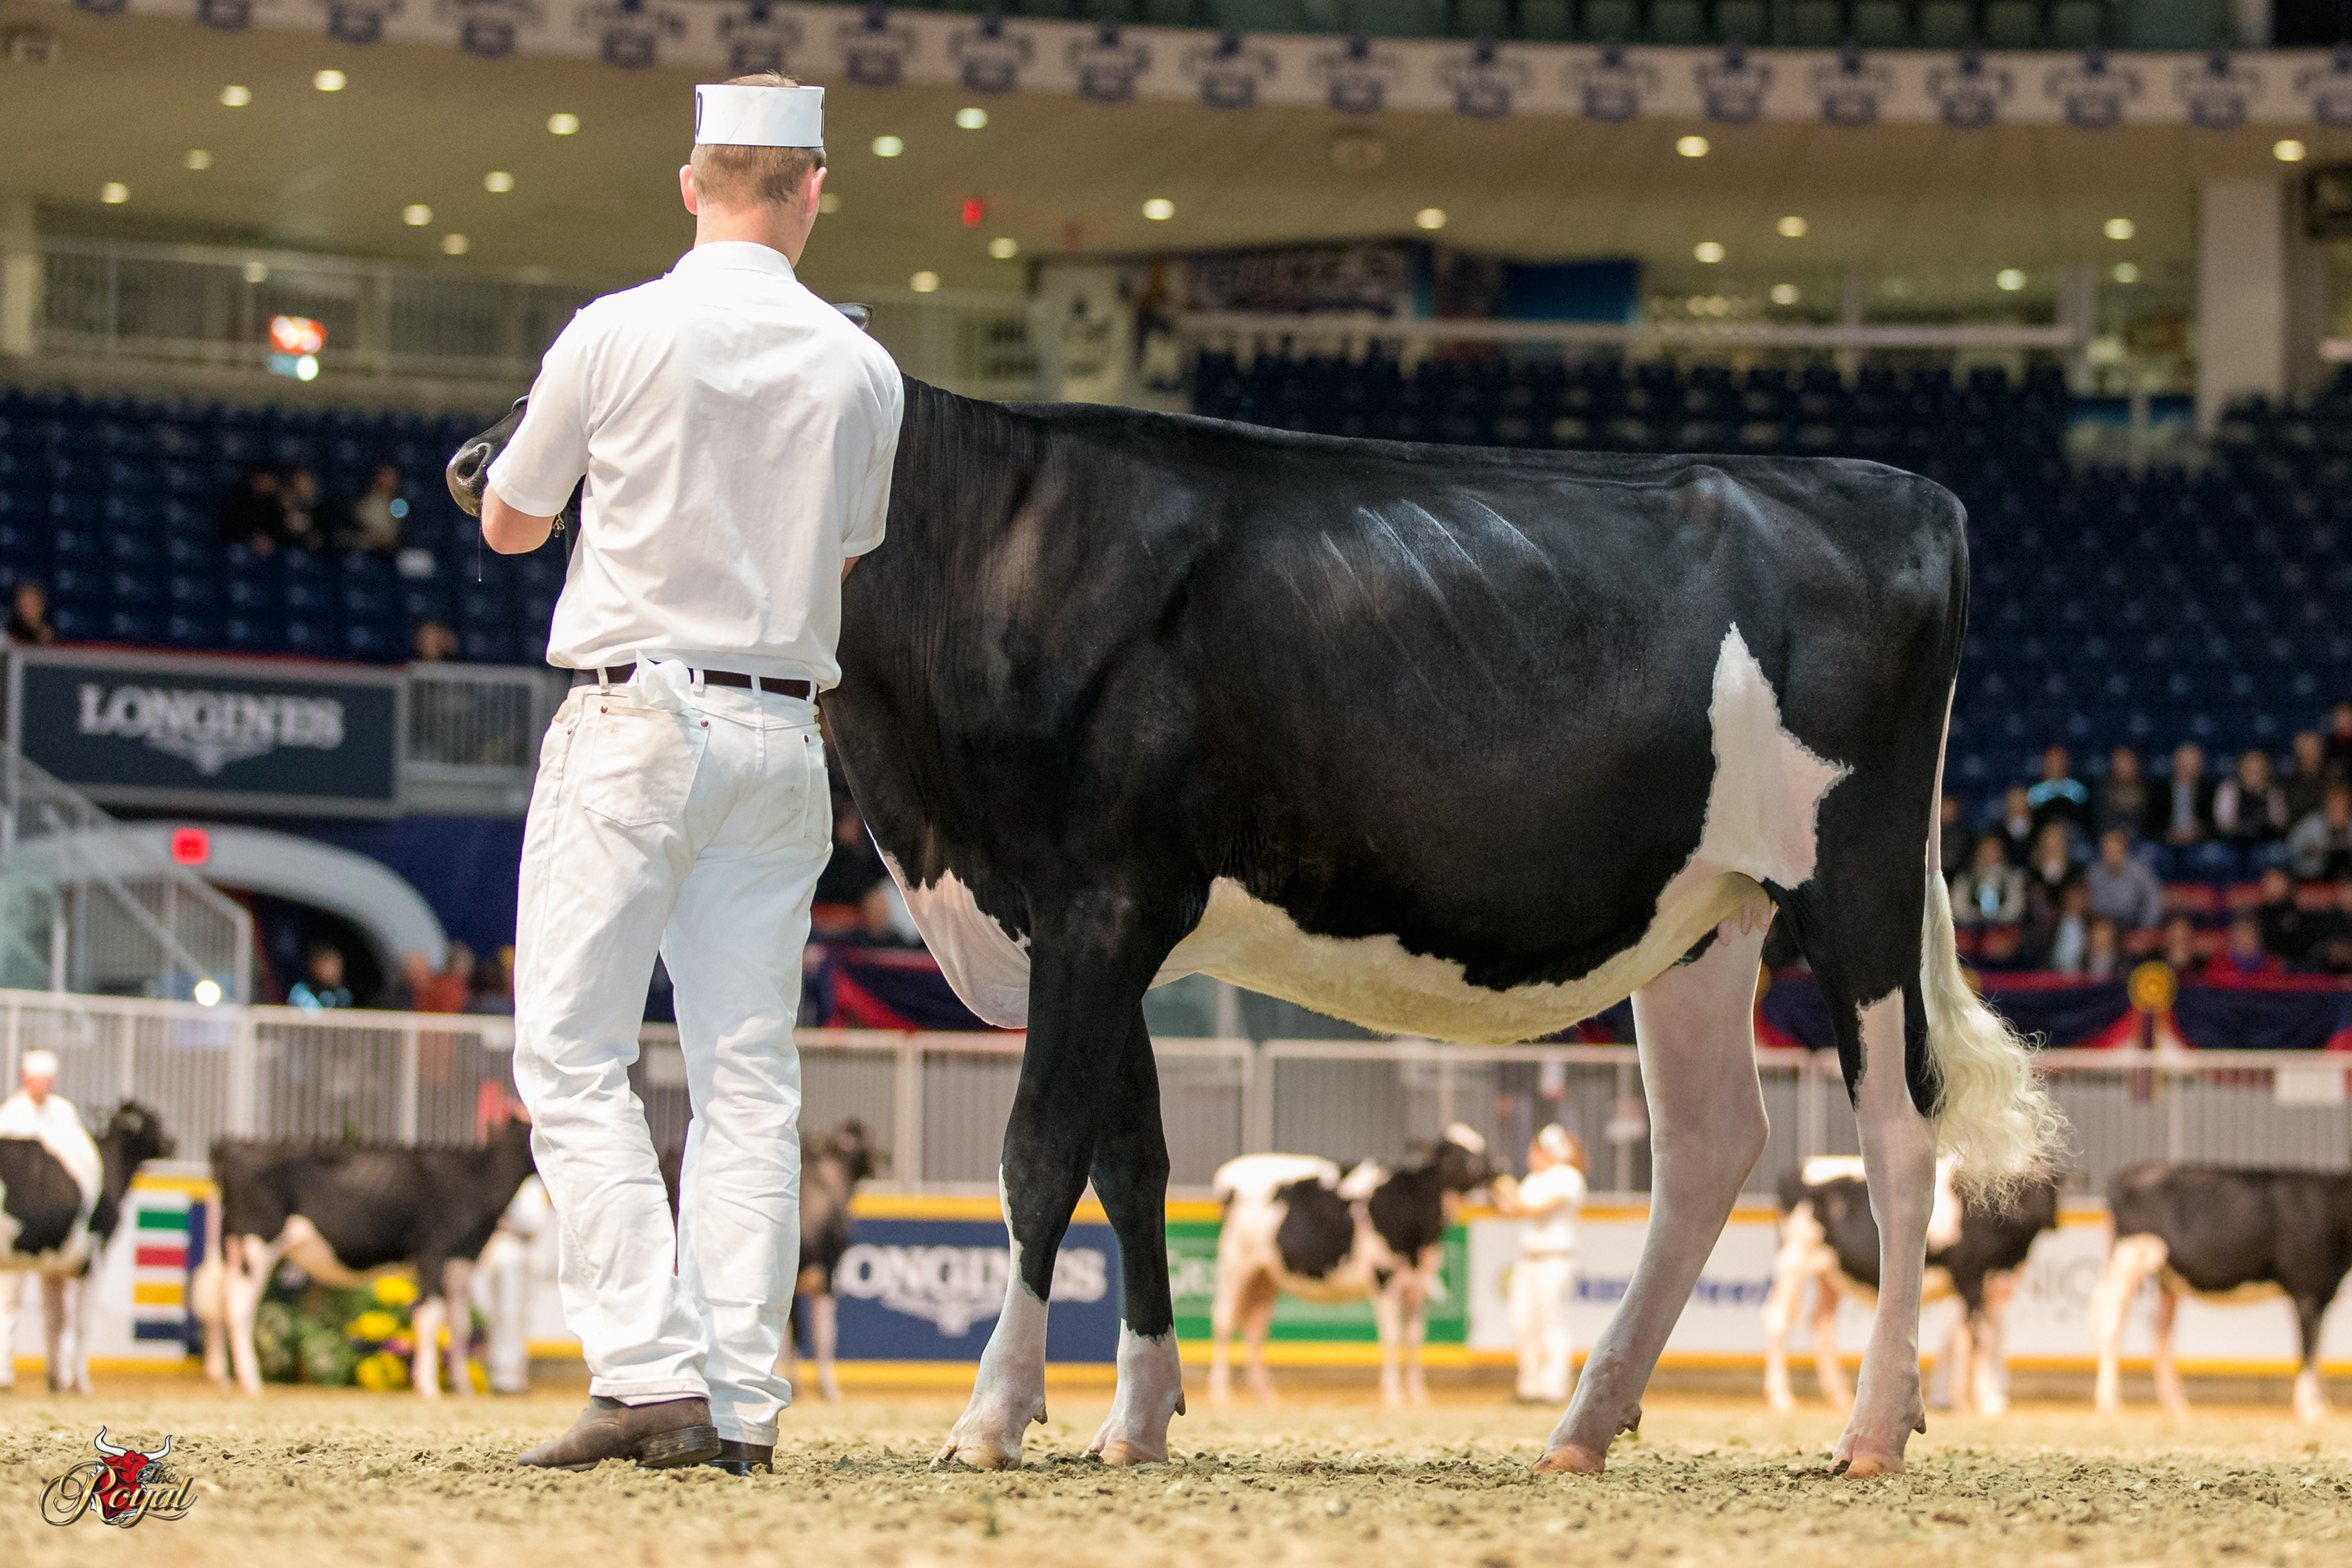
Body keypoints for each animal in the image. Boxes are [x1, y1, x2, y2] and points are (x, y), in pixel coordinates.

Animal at [0, 1103, 174, 1394]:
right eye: (153, 1118)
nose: (172, 1143)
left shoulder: (54, 1264)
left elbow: (55, 1321)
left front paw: (57, 1380)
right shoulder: (95, 1256)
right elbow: (82, 1323)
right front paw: (80, 1383)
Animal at [195, 1112, 537, 1397]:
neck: (475, 1180)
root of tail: (231, 1143)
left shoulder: (462, 1259)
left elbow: (460, 1324)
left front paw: (463, 1387)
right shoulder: (433, 1252)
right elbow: (431, 1316)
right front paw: (428, 1386)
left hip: (232, 1245)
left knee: (220, 1300)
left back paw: (220, 1375)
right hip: (258, 1243)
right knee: (240, 1306)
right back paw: (251, 1381)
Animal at [1208, 1123, 1494, 1408]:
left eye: (1481, 1149)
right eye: (1450, 1152)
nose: (1484, 1168)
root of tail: (1231, 1172)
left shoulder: (1418, 1282)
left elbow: (1414, 1338)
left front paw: (1418, 1395)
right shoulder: (1383, 1277)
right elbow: (1392, 1336)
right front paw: (1393, 1395)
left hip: (1265, 1275)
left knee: (1256, 1326)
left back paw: (1264, 1393)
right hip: (1236, 1262)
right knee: (1224, 1318)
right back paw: (1221, 1393)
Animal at [1763, 1154, 2058, 1418]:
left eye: (2053, 1187)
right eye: (2027, 1187)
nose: (2049, 1219)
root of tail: (1802, 1168)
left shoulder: (1993, 1287)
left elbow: (1980, 1337)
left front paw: (1970, 1399)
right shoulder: (1970, 1279)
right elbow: (1979, 1338)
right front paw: (1984, 1402)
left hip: (1830, 1274)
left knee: (1821, 1324)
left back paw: (1839, 1396)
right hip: (1795, 1260)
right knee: (1777, 1320)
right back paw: (1781, 1396)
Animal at [2090, 1161, 2352, 1424]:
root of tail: (2128, 1172)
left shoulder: (2323, 1292)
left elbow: (2318, 1348)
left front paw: (2322, 1405)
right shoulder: (2306, 1290)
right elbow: (2308, 1350)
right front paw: (2310, 1409)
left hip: (2165, 1275)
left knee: (2160, 1329)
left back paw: (2175, 1405)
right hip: (2130, 1257)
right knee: (2110, 1323)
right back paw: (2110, 1403)